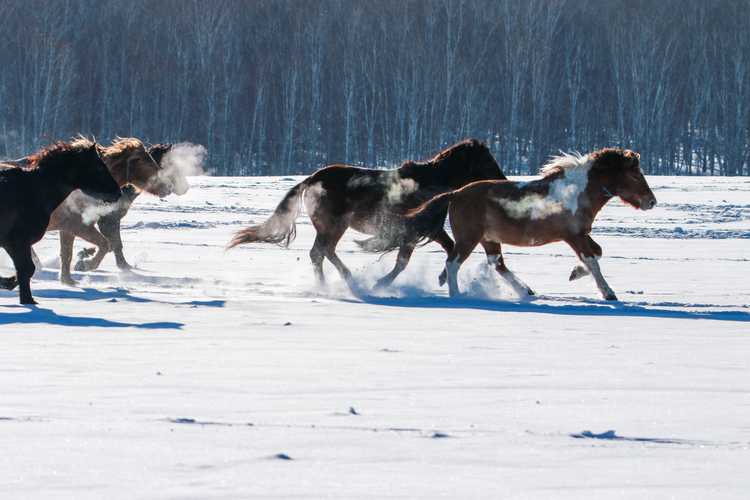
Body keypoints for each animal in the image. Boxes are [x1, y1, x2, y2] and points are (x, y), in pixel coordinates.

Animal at [0, 142, 120, 304]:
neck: (35, 191)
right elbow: (25, 270)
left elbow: (29, 269)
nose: (118, 192)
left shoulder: (12, 245)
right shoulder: (20, 242)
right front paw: (28, 300)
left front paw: (8, 283)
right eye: (99, 166)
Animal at [44, 137, 173, 286]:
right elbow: (107, 244)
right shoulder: (83, 225)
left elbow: (67, 254)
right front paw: (85, 264)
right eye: (150, 165)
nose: (169, 186)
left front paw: (69, 280)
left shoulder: (69, 229)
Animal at [74, 143, 191, 272]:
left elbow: (113, 243)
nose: (185, 187)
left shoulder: (112, 219)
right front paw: (85, 259)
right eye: (171, 164)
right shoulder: (108, 219)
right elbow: (113, 243)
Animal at [229, 137, 508, 288]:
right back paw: (341, 281)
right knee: (321, 252)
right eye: (488, 161)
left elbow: (450, 248)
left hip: (330, 227)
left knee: (321, 253)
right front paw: (380, 283)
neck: (429, 182)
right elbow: (402, 262)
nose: (504, 181)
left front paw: (441, 278)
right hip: (335, 225)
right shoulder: (410, 231)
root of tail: (311, 180)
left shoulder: (430, 228)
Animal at [358, 146, 656, 298]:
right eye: (635, 175)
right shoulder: (573, 236)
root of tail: (455, 193)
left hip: (489, 239)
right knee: (453, 263)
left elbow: (597, 253)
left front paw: (574, 273)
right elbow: (593, 260)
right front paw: (609, 293)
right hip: (470, 238)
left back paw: (525, 291)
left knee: (496, 264)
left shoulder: (581, 233)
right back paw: (457, 294)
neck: (576, 192)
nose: (652, 201)